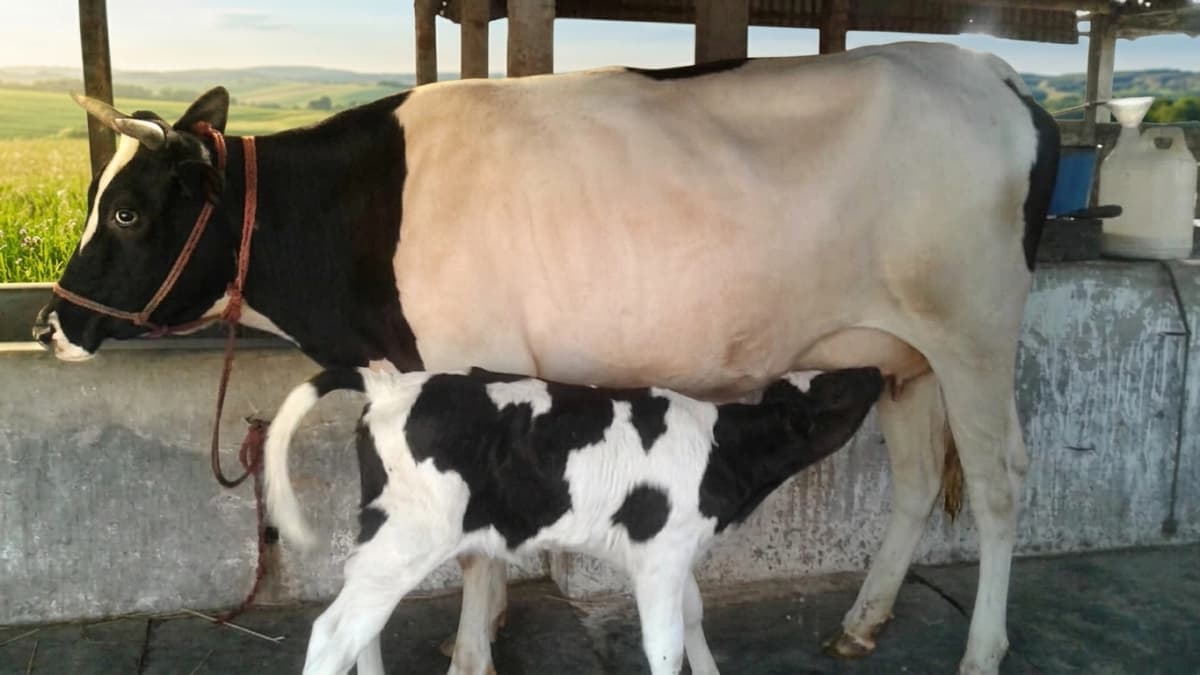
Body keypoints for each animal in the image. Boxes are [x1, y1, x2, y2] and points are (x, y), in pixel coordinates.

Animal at [262, 365, 885, 675]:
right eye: (835, 385)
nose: (879, 366)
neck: (721, 449)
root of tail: (392, 382)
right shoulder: (658, 557)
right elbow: (665, 645)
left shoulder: (678, 551)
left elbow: (693, 617)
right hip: (410, 537)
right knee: (334, 634)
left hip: (386, 538)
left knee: (362, 624)